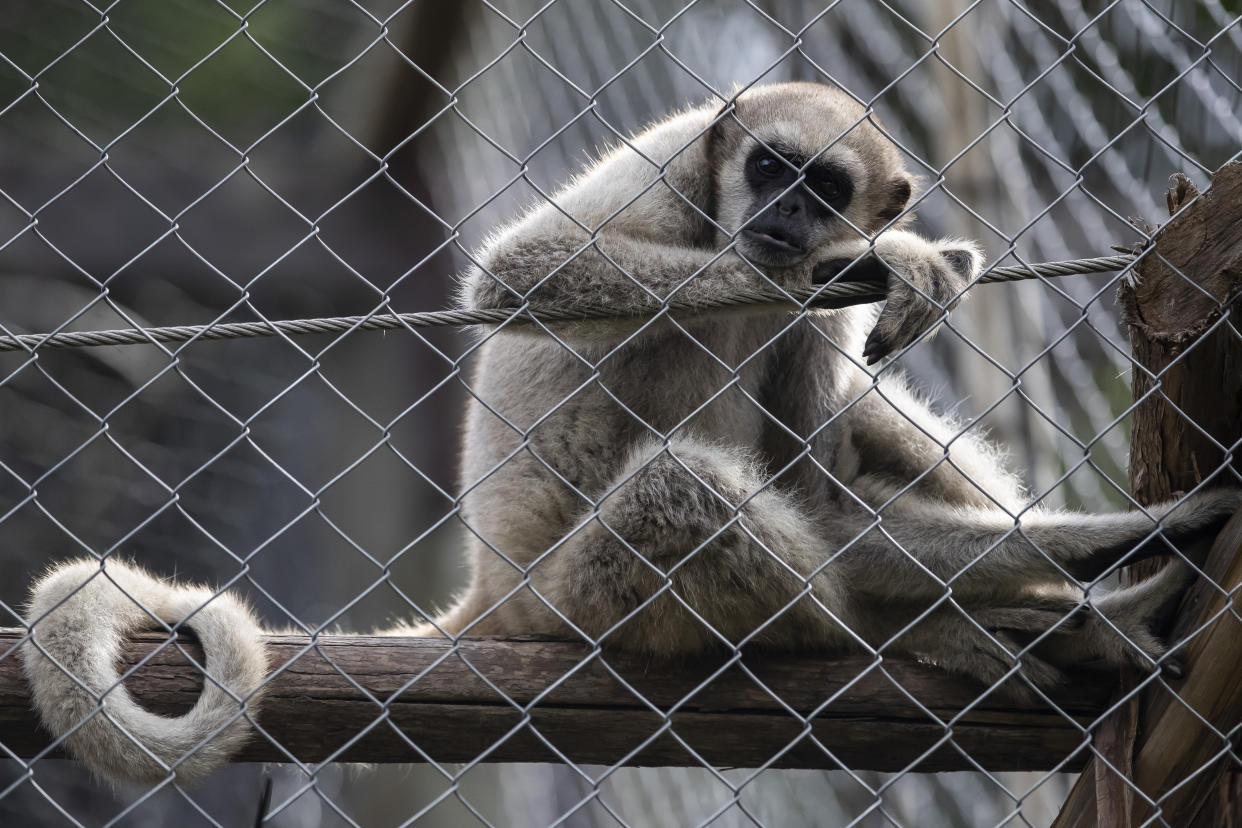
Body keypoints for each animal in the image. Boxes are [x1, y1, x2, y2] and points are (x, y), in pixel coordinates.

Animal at [21, 82, 1242, 784]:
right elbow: (518, 276)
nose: (786, 217)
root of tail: (495, 587)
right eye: (769, 168)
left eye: (822, 184)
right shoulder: (668, 173)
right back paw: (920, 634)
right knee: (686, 472)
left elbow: (825, 461)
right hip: (578, 591)